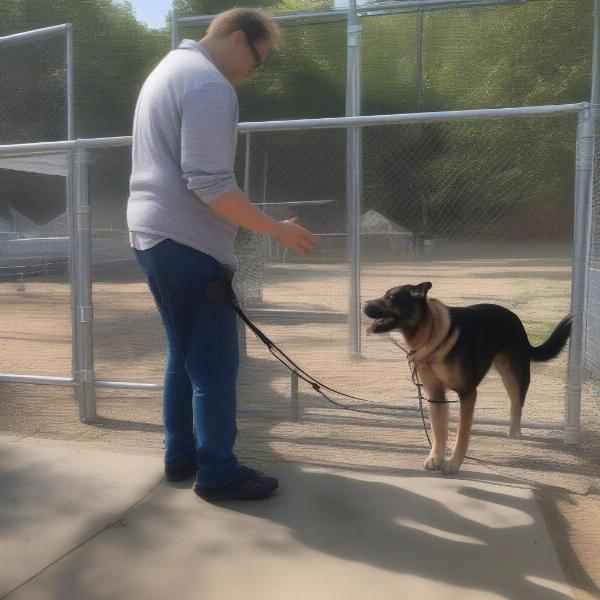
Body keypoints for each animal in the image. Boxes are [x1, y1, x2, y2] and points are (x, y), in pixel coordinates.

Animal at [360, 284, 572, 476]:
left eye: (390, 298)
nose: (362, 305)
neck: (431, 334)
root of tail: (514, 317)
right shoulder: (435, 395)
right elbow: (438, 431)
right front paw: (436, 458)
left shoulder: (468, 394)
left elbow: (462, 433)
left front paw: (453, 463)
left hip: (514, 377)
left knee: (516, 403)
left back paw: (515, 433)